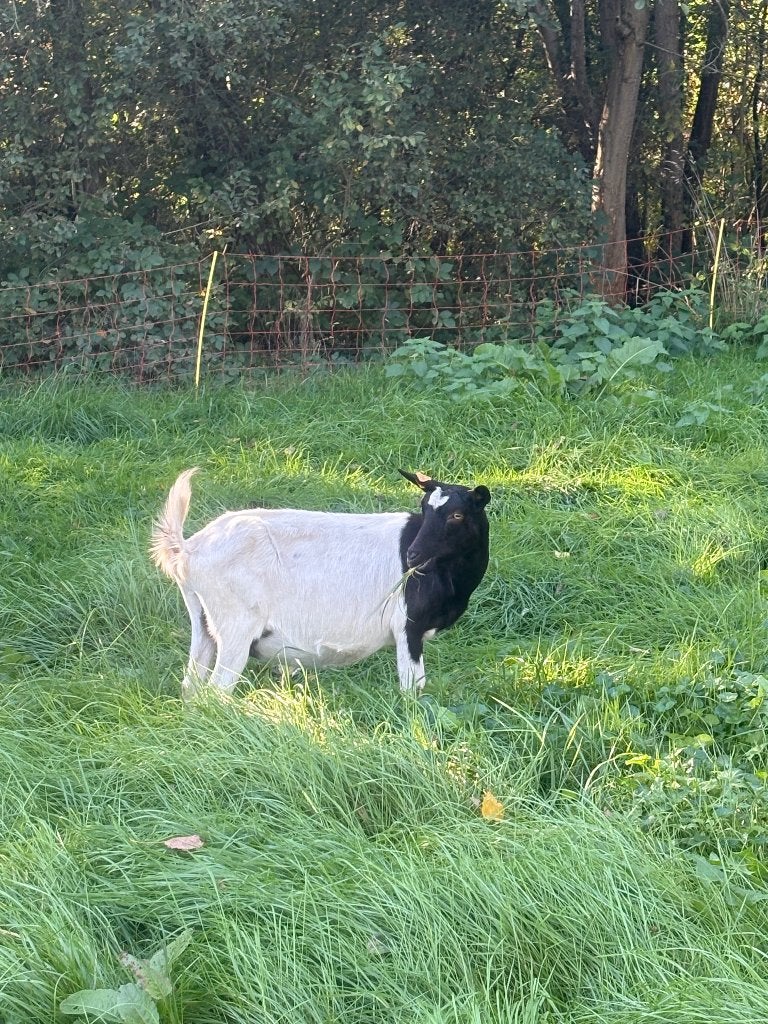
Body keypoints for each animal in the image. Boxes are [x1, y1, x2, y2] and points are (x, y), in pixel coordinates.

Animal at [151, 468, 490, 698]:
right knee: (217, 690)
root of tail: (188, 550)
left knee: (192, 685)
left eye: (457, 515)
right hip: (236, 626)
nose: (412, 555)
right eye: (424, 508)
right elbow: (413, 688)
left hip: (204, 623)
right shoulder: (408, 626)